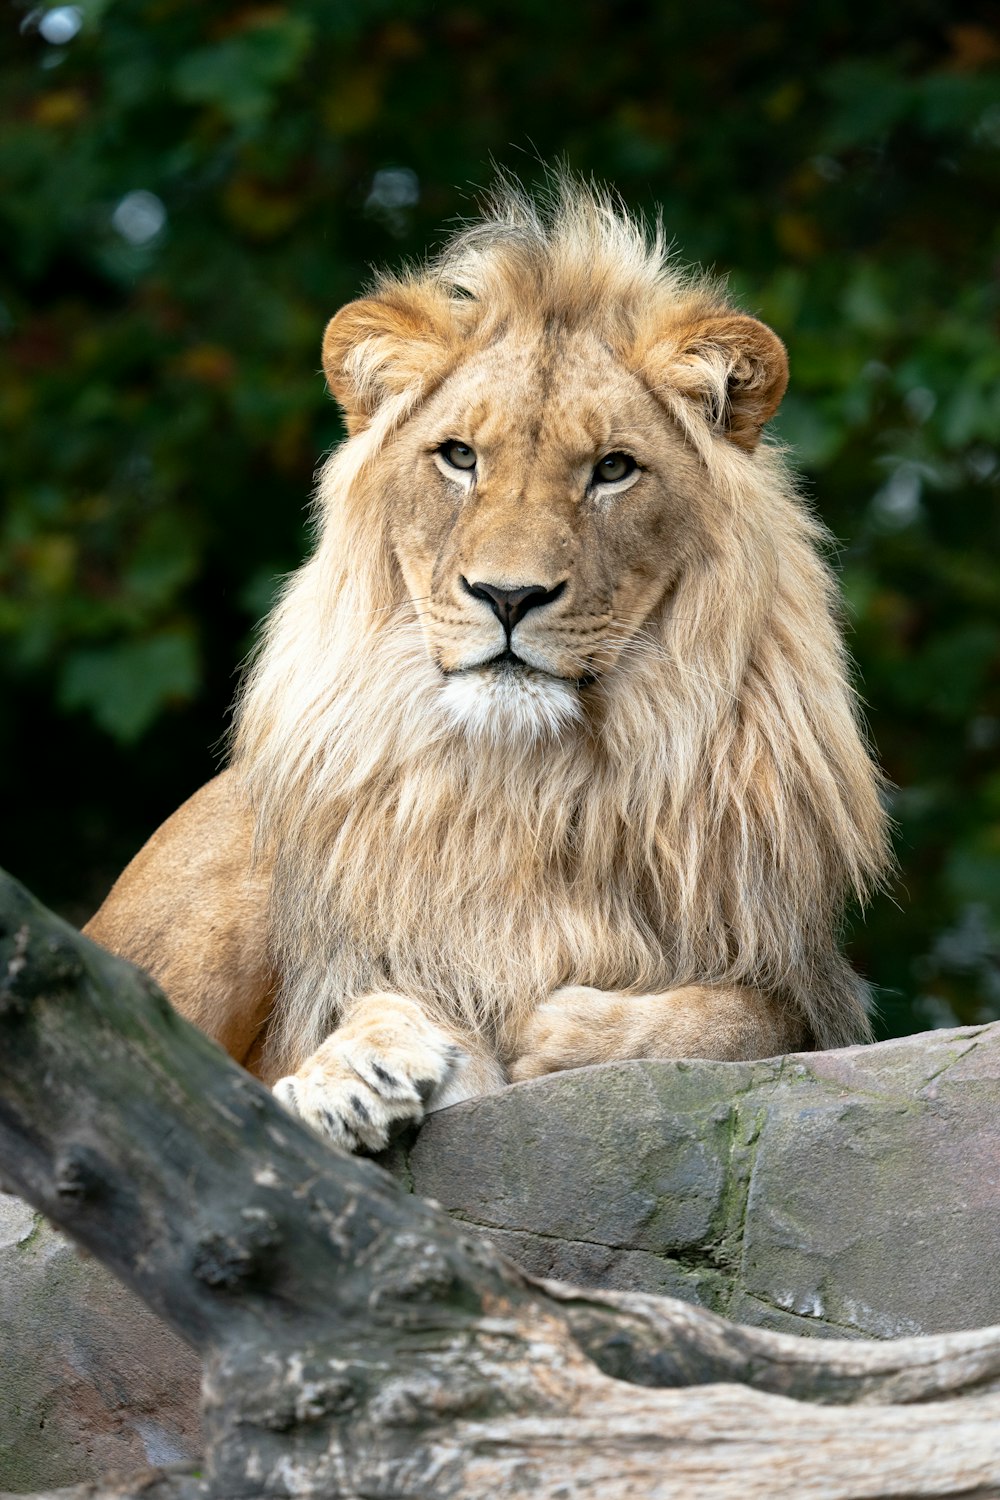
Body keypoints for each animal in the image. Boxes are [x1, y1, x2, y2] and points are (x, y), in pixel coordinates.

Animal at [82, 181, 887, 1152]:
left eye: (613, 469)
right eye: (460, 457)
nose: (508, 595)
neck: (526, 784)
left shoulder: (812, 988)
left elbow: (741, 1018)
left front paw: (563, 1032)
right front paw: (357, 1071)